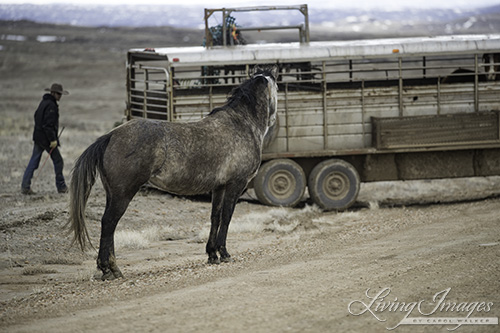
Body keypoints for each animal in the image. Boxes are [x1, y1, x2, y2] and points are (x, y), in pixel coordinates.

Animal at [68, 66, 280, 278]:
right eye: (277, 87)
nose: (273, 119)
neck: (242, 124)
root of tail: (111, 135)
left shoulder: (219, 187)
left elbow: (215, 217)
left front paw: (212, 254)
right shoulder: (236, 184)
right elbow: (227, 217)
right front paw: (225, 253)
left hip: (112, 194)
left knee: (109, 225)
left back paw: (109, 268)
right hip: (123, 194)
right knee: (109, 223)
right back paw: (110, 268)